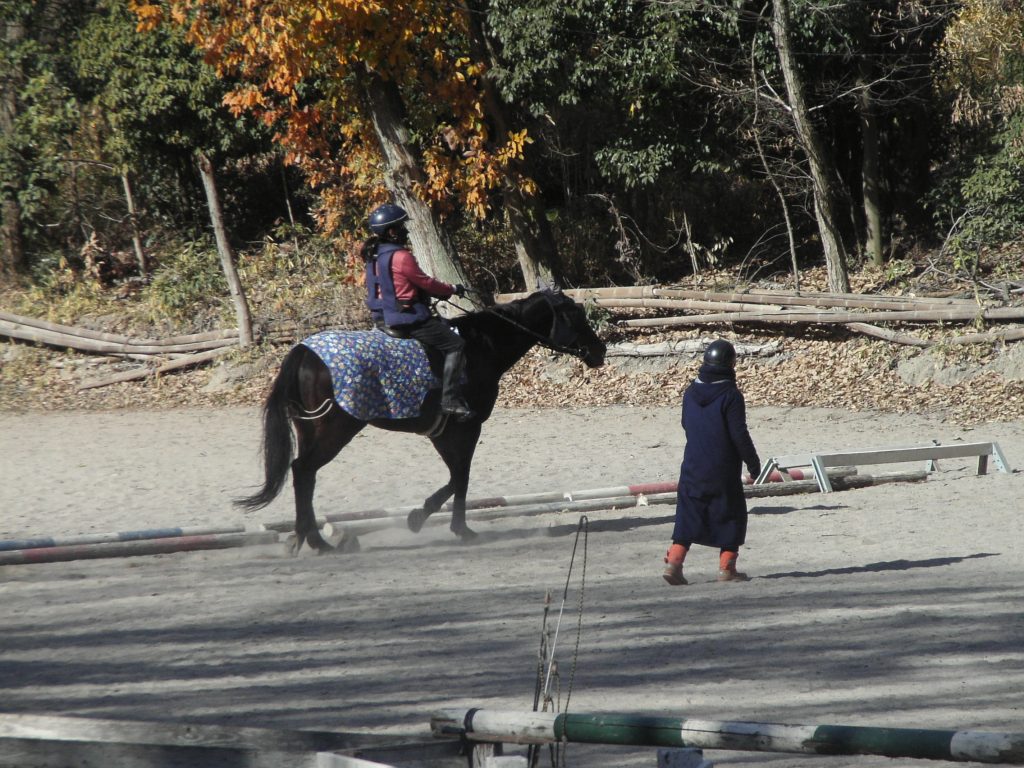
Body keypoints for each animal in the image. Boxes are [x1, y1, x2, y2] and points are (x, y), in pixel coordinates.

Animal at [236, 289, 607, 554]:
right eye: (576, 317)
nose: (600, 351)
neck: (481, 347)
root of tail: (304, 351)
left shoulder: (441, 433)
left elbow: (456, 478)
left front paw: (430, 519)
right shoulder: (465, 428)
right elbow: (461, 478)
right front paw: (452, 527)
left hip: (311, 429)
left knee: (304, 476)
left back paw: (309, 539)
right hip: (335, 430)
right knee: (303, 471)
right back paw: (317, 543)